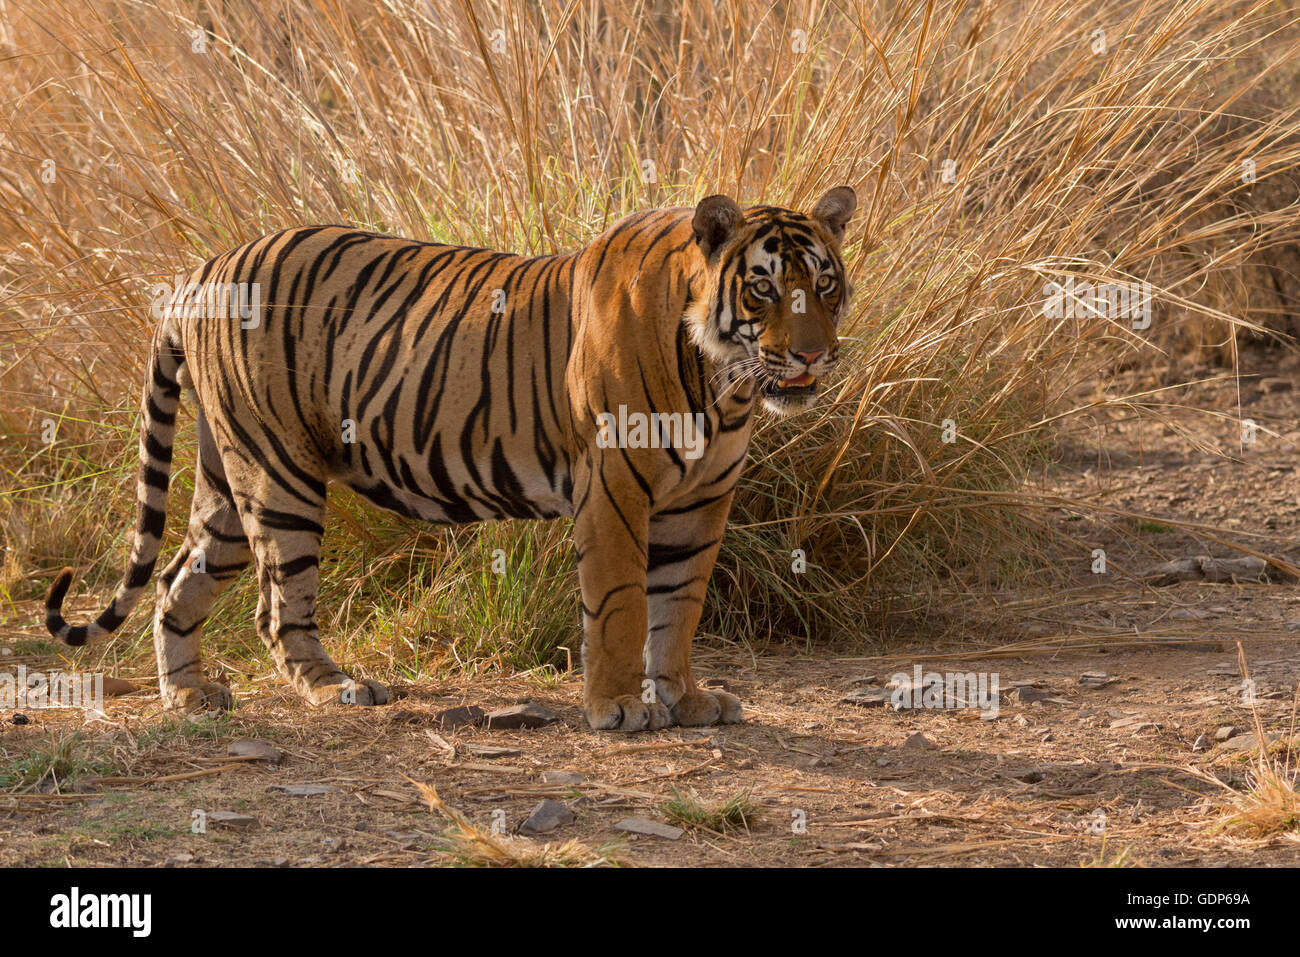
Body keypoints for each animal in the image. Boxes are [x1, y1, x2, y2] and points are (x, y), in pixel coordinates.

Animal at [44, 187, 857, 731]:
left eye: (824, 284)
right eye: (762, 287)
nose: (814, 355)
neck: (723, 384)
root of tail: (201, 271)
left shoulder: (701, 500)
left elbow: (679, 604)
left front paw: (684, 699)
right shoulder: (617, 489)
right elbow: (624, 603)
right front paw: (620, 706)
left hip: (229, 477)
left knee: (178, 581)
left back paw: (188, 696)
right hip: (279, 477)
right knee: (277, 607)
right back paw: (337, 688)